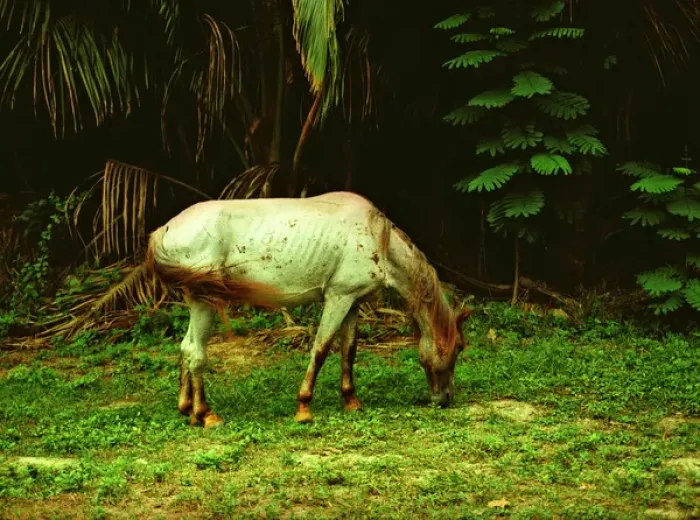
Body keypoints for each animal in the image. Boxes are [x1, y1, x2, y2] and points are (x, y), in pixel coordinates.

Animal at [145, 191, 472, 427]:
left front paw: (351, 401)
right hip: (204, 302)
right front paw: (304, 407)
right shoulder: (338, 298)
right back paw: (206, 414)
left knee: (187, 348)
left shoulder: (352, 303)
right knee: (196, 353)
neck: (379, 238)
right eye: (459, 347)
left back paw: (188, 409)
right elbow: (321, 349)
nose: (445, 398)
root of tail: (163, 230)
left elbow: (348, 351)